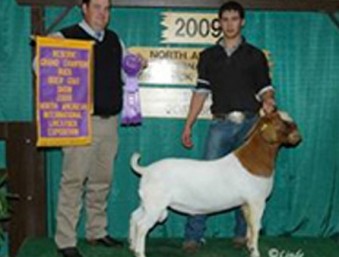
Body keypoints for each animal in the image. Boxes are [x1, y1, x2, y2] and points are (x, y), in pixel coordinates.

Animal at [130, 109, 302, 256]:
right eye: (283, 123)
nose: (298, 135)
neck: (256, 158)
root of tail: (147, 170)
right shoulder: (257, 201)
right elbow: (256, 227)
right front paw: (255, 252)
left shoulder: (246, 203)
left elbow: (249, 227)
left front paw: (249, 246)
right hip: (156, 205)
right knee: (142, 225)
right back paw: (140, 252)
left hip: (147, 203)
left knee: (134, 217)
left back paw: (132, 246)